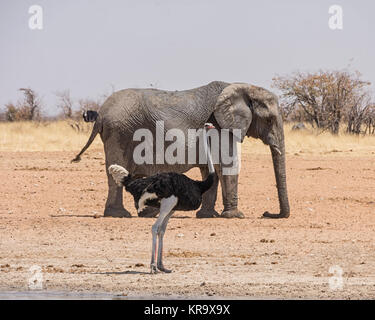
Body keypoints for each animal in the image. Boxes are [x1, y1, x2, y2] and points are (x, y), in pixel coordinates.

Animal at [72, 81, 290, 219]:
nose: (267, 214)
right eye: (269, 120)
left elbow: (210, 170)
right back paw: (120, 215)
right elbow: (227, 166)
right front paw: (235, 216)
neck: (243, 87)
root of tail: (101, 113)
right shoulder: (220, 126)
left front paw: (208, 216)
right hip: (120, 133)